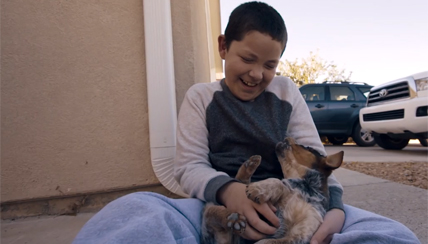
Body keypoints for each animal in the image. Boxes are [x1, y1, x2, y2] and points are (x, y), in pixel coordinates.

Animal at [201, 137, 344, 244]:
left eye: (308, 148)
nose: (287, 136)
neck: (304, 188)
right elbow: (279, 182)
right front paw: (258, 188)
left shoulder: (301, 235)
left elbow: (266, 242)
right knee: (216, 208)